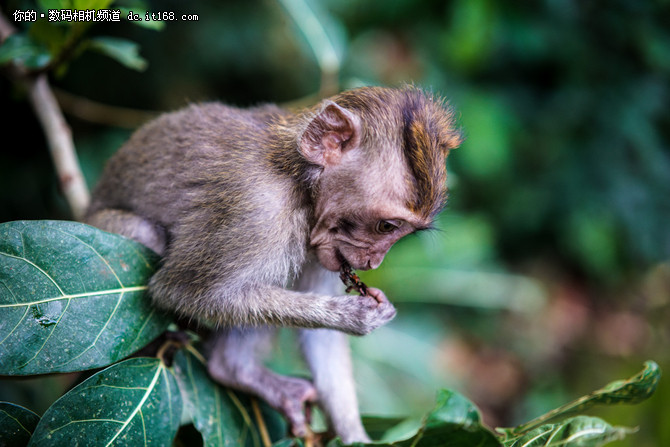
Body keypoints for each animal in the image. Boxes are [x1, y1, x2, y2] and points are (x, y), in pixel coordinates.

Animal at [86, 86, 464, 442]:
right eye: (387, 226)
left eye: (398, 231)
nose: (373, 261)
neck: (298, 183)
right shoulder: (258, 211)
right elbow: (182, 291)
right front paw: (354, 316)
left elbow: (320, 340)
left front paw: (354, 434)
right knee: (150, 238)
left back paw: (235, 369)